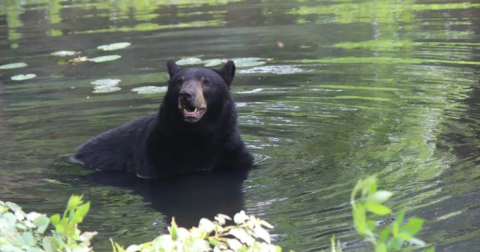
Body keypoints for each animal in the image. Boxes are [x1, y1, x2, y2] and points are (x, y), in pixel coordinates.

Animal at [73, 59, 253, 179]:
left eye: (206, 81)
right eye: (179, 81)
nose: (186, 95)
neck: (199, 135)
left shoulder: (229, 146)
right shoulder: (159, 153)